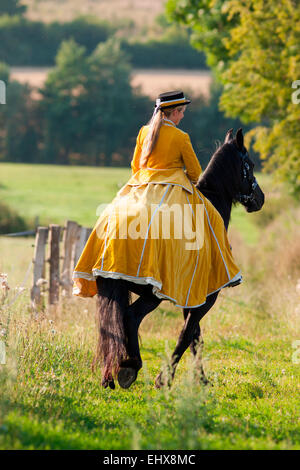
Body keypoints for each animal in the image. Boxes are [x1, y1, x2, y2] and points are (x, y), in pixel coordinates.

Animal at [93, 127, 264, 390]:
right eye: (251, 164)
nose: (260, 198)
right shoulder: (207, 297)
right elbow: (187, 335)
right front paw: (165, 379)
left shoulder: (194, 297)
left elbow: (195, 337)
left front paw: (201, 379)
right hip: (152, 294)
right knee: (131, 318)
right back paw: (131, 367)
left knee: (116, 323)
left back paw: (113, 374)